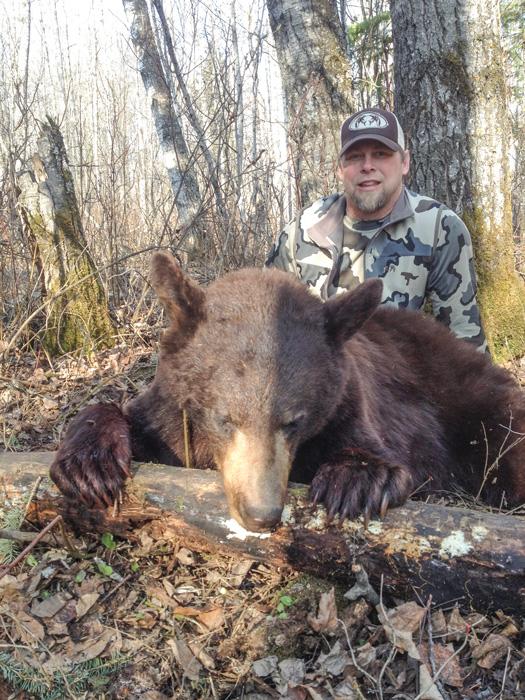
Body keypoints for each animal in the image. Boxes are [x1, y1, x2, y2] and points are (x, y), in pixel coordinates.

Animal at [50, 251, 525, 531]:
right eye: (225, 419)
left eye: (294, 421)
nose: (261, 515)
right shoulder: (172, 413)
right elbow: (129, 418)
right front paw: (89, 464)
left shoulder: (351, 403)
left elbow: (375, 452)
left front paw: (355, 480)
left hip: (469, 400)